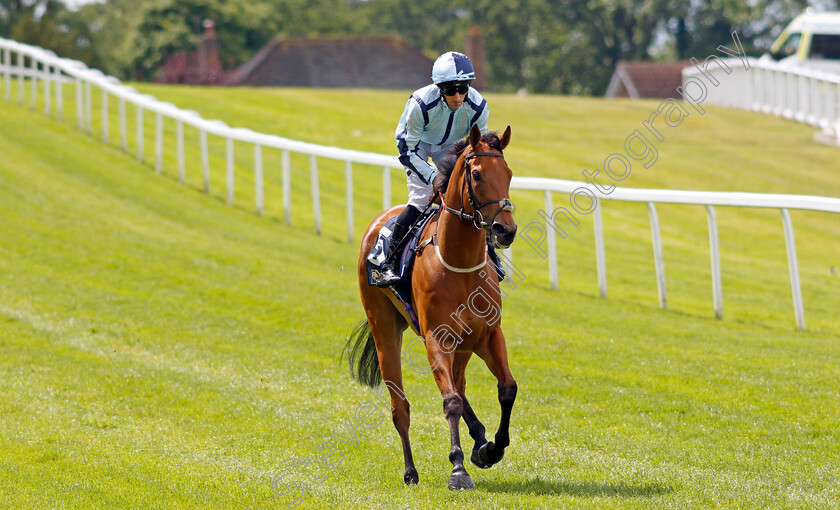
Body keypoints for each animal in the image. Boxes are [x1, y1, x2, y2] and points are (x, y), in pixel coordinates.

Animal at [344, 123, 516, 490]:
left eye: (509, 173)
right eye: (476, 174)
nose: (505, 229)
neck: (460, 264)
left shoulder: (488, 335)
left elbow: (506, 389)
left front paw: (492, 448)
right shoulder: (437, 338)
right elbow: (450, 401)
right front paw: (458, 469)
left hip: (463, 345)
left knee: (460, 385)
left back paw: (480, 441)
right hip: (385, 329)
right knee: (401, 407)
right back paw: (410, 471)